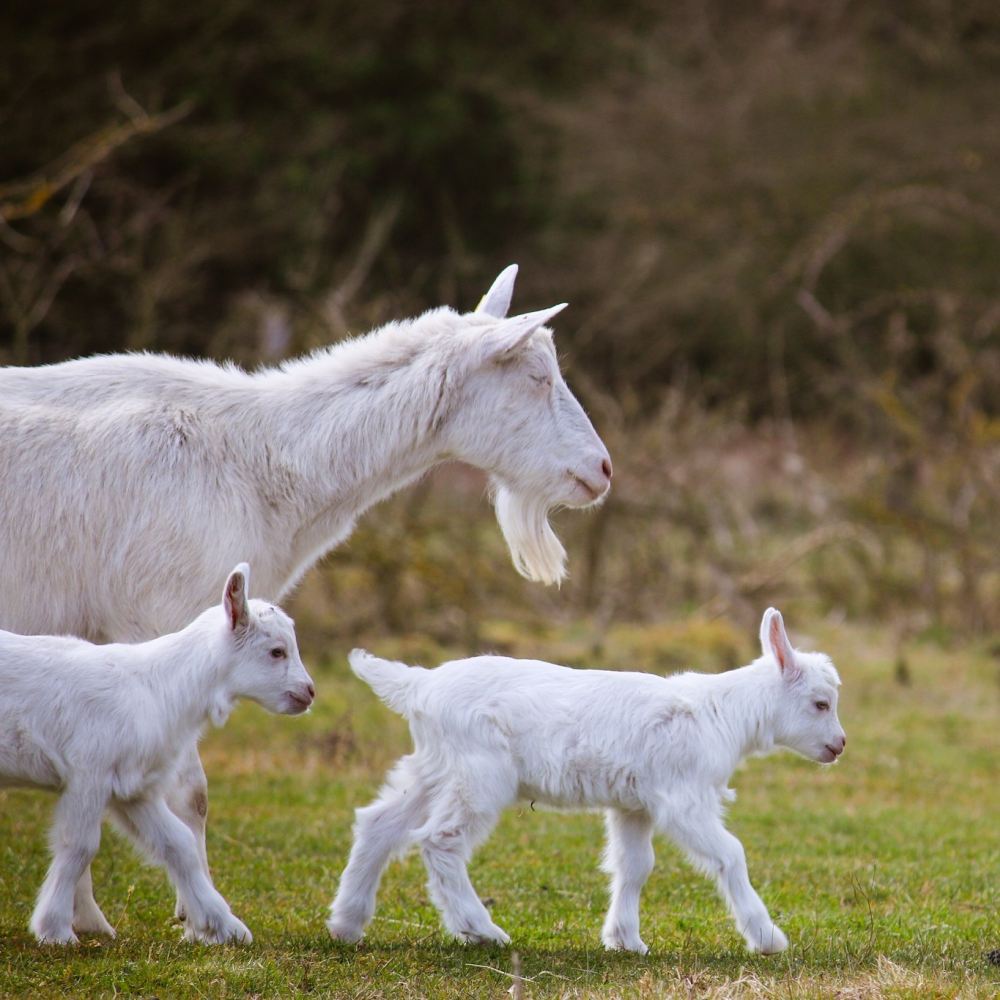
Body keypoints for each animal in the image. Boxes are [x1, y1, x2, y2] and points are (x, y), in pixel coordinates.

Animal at [0, 264, 608, 928]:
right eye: (537, 378)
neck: (257, 456)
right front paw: (194, 916)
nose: (602, 470)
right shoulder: (159, 617)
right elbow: (190, 791)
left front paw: (89, 918)